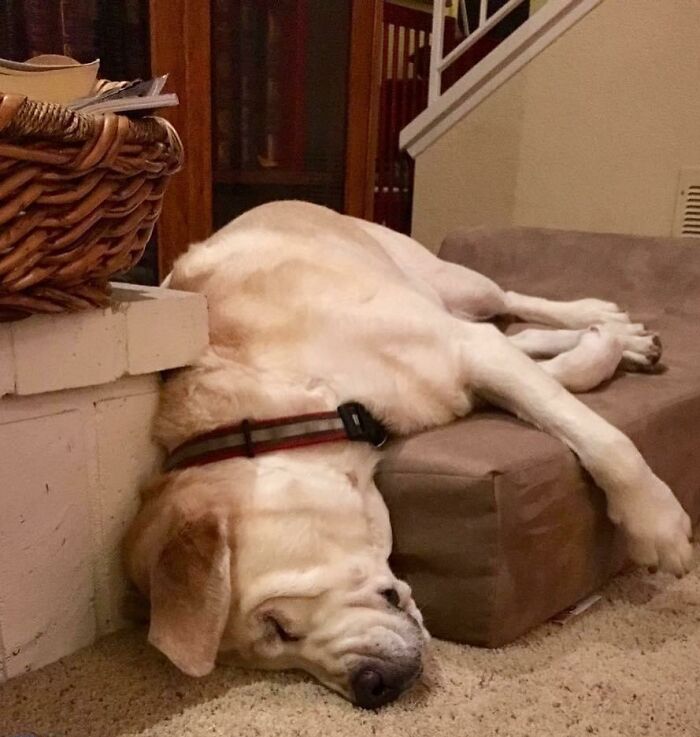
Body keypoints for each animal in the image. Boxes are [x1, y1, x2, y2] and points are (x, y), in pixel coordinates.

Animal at [124, 198, 688, 704]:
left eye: (277, 625)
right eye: (278, 646)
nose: (370, 689)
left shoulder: (469, 351)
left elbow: (603, 437)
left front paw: (657, 522)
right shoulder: (465, 368)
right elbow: (558, 376)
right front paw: (604, 350)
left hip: (449, 280)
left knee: (510, 300)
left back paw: (600, 315)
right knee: (519, 332)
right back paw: (622, 337)